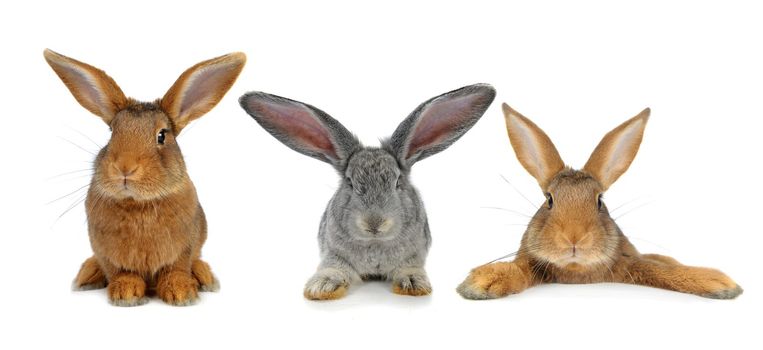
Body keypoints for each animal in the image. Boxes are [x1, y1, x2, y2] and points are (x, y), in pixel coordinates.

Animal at [44, 49, 246, 306]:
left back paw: (204, 276)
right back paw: (87, 274)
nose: (125, 168)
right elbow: (120, 271)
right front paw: (126, 293)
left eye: (161, 135)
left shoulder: (184, 248)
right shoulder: (107, 251)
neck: (137, 204)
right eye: (112, 132)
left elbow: (177, 268)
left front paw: (181, 293)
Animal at [242, 83, 498, 300]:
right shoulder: (333, 254)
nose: (374, 223)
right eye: (350, 183)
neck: (375, 243)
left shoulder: (415, 254)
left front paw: (413, 284)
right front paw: (321, 288)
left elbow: (410, 268)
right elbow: (333, 268)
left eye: (397, 182)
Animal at [456, 105, 744, 300]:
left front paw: (719, 282)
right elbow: (520, 269)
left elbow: (656, 269)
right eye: (549, 200)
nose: (574, 238)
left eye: (600, 201)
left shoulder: (628, 261)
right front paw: (484, 280)